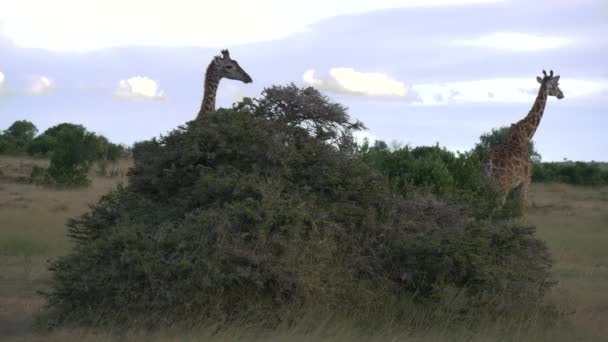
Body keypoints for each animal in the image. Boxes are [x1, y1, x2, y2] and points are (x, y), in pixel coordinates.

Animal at [484, 70, 564, 224]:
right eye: (556, 84)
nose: (561, 94)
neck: (527, 134)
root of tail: (489, 163)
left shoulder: (518, 184)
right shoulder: (527, 180)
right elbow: (522, 212)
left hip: (484, 184)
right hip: (502, 187)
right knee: (494, 211)